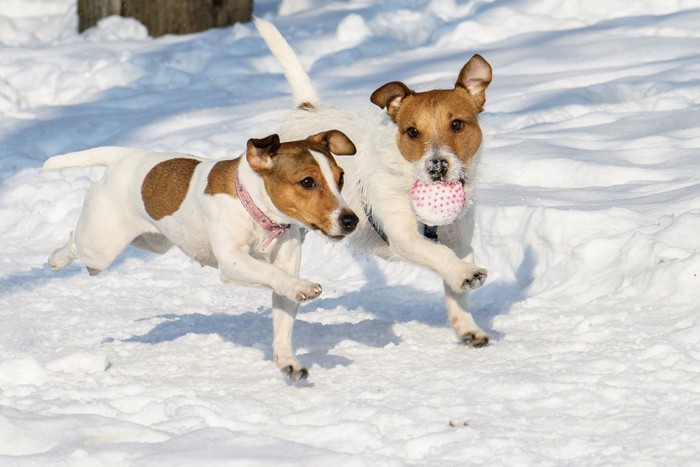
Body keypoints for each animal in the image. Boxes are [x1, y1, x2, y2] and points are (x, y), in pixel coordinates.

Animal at [42, 131, 360, 380]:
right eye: (307, 182)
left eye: (341, 178)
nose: (351, 220)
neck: (254, 208)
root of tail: (125, 156)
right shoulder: (232, 262)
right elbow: (271, 273)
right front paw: (302, 286)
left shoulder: (285, 261)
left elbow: (282, 314)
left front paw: (288, 361)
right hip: (100, 245)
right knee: (76, 244)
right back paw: (57, 259)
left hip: (153, 242)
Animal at [256, 18, 492, 348]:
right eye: (412, 132)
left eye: (457, 124)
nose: (436, 166)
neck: (407, 175)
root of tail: (306, 110)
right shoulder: (404, 236)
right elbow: (439, 254)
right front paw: (465, 274)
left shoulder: (460, 239)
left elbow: (454, 284)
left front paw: (468, 326)